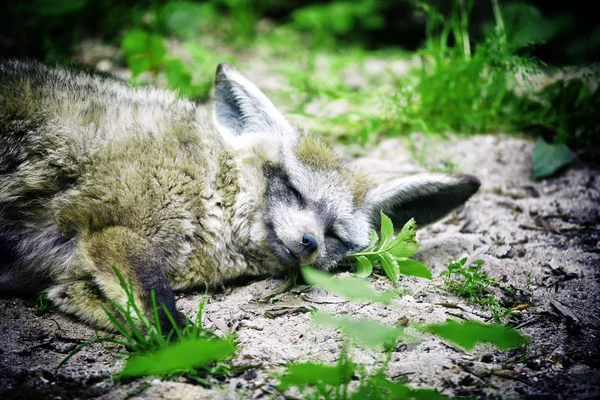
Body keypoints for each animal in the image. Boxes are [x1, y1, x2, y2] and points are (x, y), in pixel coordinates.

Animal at [0, 58, 478, 332]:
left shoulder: (70, 280)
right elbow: (163, 313)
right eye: (295, 192)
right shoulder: (116, 230)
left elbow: (128, 314)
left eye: (335, 235)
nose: (310, 243)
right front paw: (193, 348)